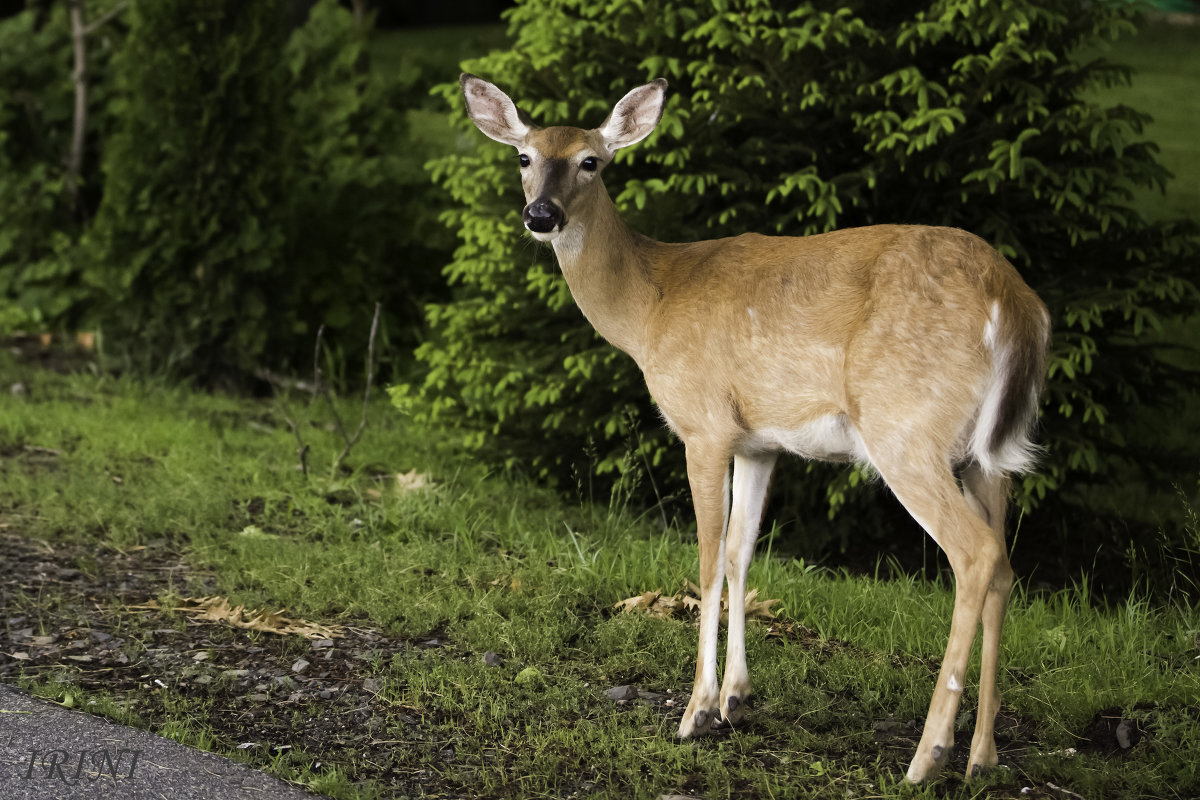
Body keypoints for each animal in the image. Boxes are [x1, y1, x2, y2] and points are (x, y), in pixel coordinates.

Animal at [458, 71, 1051, 786]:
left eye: (590, 161)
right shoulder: (761, 441)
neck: (649, 307)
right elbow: (743, 551)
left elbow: (708, 558)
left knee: (976, 555)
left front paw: (695, 711)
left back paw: (927, 756)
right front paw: (736, 696)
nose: (541, 215)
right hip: (990, 456)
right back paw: (983, 757)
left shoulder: (704, 424)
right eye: (524, 157)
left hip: (906, 429)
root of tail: (1015, 303)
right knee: (1007, 567)